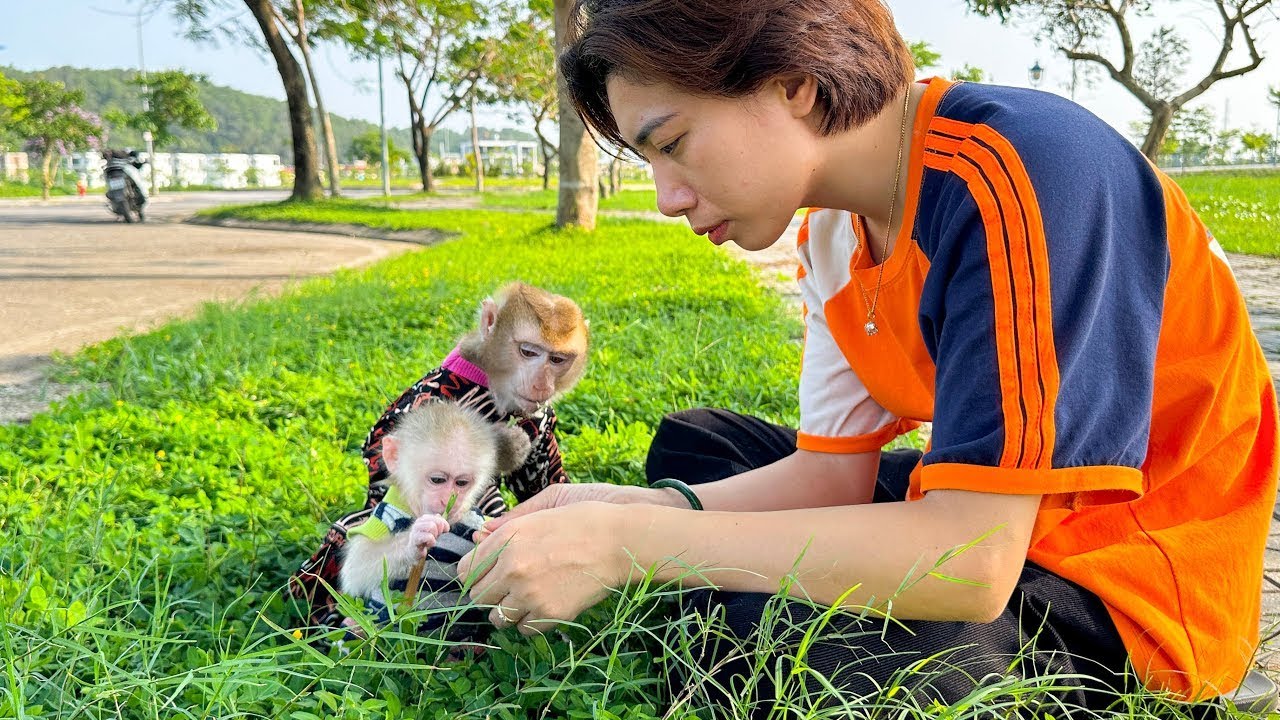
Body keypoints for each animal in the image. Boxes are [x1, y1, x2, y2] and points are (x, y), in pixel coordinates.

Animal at [288, 282, 591, 631]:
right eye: (528, 352)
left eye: (557, 359)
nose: (542, 384)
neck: (486, 381)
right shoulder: (429, 398)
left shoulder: (541, 415)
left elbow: (541, 483)